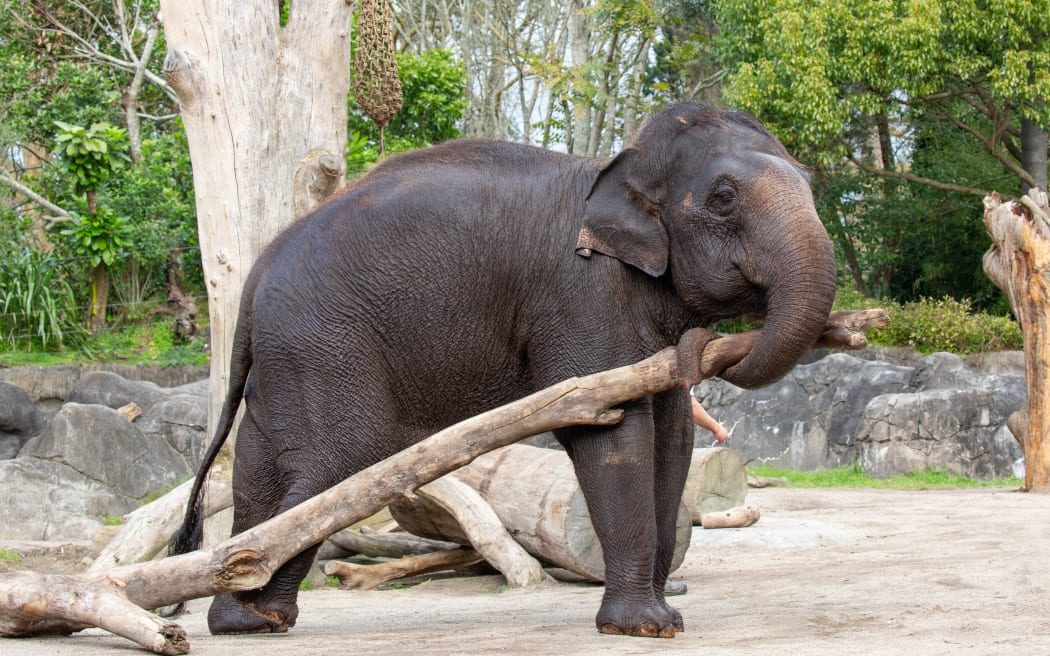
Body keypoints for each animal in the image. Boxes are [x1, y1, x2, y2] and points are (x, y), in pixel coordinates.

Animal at [168, 102, 831, 638]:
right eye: (723, 198)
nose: (708, 345)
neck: (617, 165)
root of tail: (256, 277)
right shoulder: (581, 293)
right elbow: (612, 432)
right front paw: (645, 628)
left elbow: (674, 436)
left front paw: (665, 617)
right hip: (323, 344)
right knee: (336, 461)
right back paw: (262, 616)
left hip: (287, 356)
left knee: (259, 460)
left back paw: (240, 620)